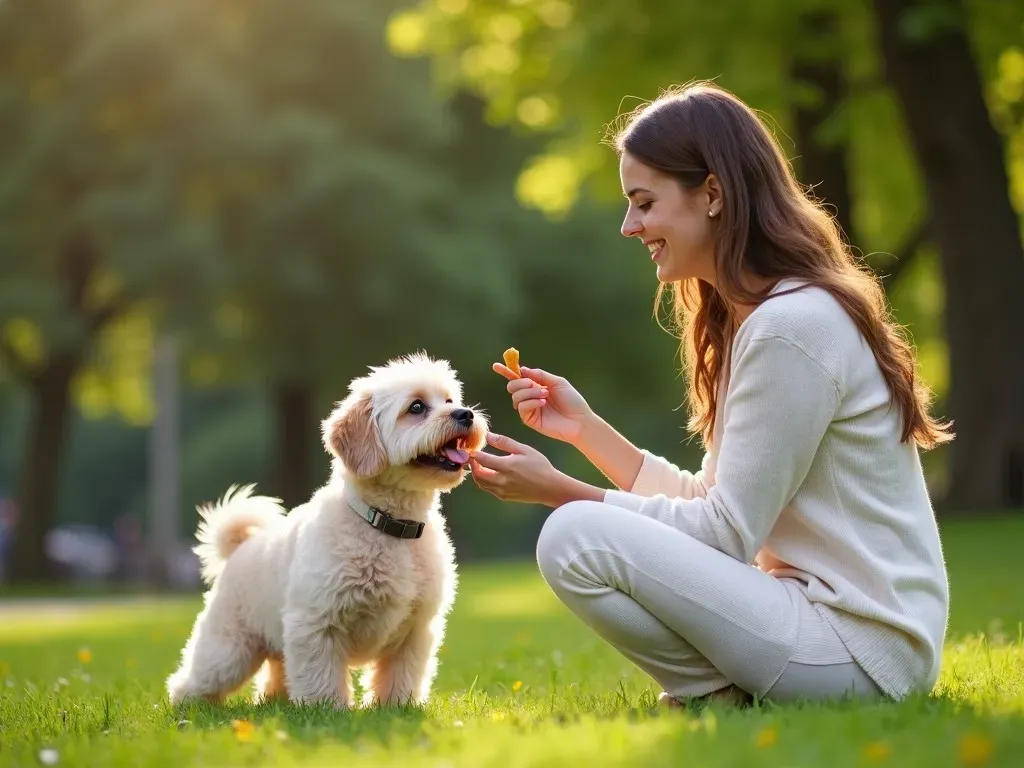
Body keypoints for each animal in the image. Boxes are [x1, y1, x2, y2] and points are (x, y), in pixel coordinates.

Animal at [165, 354, 485, 708]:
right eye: (416, 407)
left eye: (449, 400)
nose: (466, 414)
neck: (389, 527)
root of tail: (240, 548)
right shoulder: (316, 623)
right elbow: (320, 675)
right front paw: (326, 709)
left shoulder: (415, 630)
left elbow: (401, 675)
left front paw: (397, 706)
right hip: (229, 649)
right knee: (192, 679)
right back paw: (188, 707)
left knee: (275, 675)